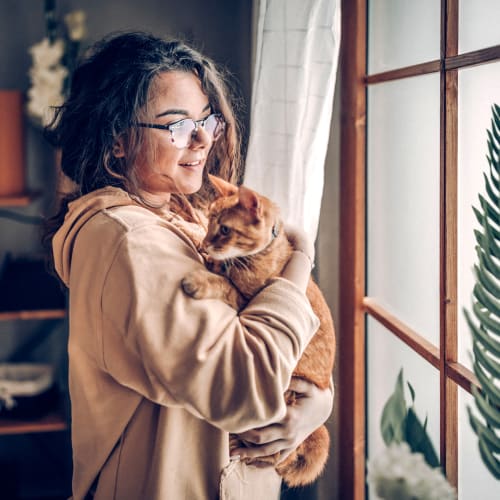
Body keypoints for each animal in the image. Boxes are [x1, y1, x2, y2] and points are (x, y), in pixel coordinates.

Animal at [181, 174, 336, 486]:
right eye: (210, 221)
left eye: (225, 229)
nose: (205, 244)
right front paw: (193, 236)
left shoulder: (245, 304)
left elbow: (223, 284)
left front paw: (199, 280)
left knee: (276, 458)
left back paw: (240, 448)